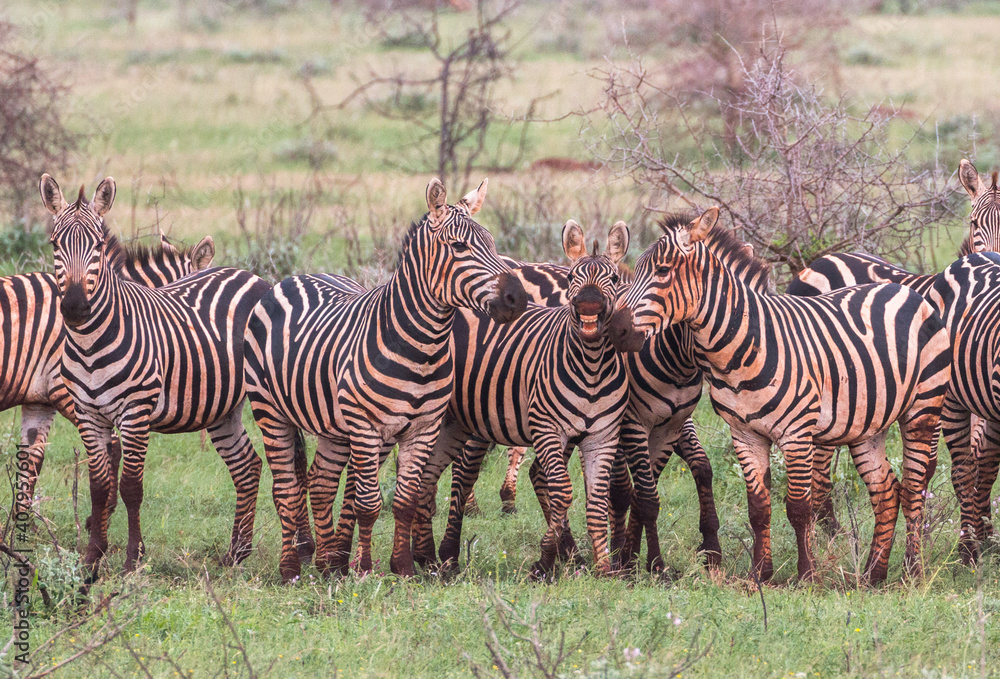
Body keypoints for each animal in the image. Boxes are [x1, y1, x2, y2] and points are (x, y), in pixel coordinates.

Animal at [3, 230, 214, 527]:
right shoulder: (69, 393)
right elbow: (112, 448)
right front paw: (100, 515)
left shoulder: (39, 400)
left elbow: (31, 460)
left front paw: (21, 525)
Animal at [40, 174, 272, 574]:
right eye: (56, 244)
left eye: (97, 245)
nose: (74, 307)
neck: (88, 342)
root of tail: (249, 274)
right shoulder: (88, 414)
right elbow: (99, 486)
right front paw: (92, 558)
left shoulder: (136, 412)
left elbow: (130, 487)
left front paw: (133, 559)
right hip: (223, 407)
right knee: (247, 466)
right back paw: (236, 553)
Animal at [243, 178, 527, 583]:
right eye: (459, 246)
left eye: (491, 242)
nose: (516, 299)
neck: (423, 348)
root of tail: (296, 277)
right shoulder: (366, 427)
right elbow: (367, 503)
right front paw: (364, 569)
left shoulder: (423, 428)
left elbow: (404, 501)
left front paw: (403, 567)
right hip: (270, 411)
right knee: (286, 489)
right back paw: (291, 569)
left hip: (333, 430)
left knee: (320, 483)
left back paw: (328, 564)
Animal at [410, 220, 631, 577]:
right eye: (572, 277)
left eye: (612, 279)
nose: (588, 305)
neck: (592, 367)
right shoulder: (547, 429)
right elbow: (562, 491)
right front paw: (545, 560)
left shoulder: (603, 436)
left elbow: (596, 500)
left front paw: (604, 568)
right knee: (461, 477)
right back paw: (447, 554)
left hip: (458, 421)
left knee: (431, 477)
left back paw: (428, 554)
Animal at [617, 208, 951, 582]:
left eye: (662, 271)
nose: (616, 329)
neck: (747, 343)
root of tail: (903, 289)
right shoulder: (744, 434)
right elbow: (758, 508)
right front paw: (760, 574)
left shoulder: (797, 433)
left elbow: (798, 507)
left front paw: (806, 575)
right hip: (869, 424)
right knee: (886, 493)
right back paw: (872, 575)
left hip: (923, 409)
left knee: (913, 491)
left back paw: (912, 572)